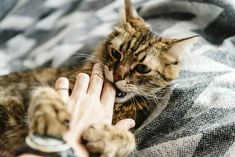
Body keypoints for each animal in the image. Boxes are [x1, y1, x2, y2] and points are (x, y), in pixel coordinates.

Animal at [0, 0, 197, 157]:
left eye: (142, 68)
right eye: (116, 53)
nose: (117, 76)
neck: (118, 107)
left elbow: (130, 140)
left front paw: (106, 137)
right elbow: (44, 91)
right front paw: (52, 116)